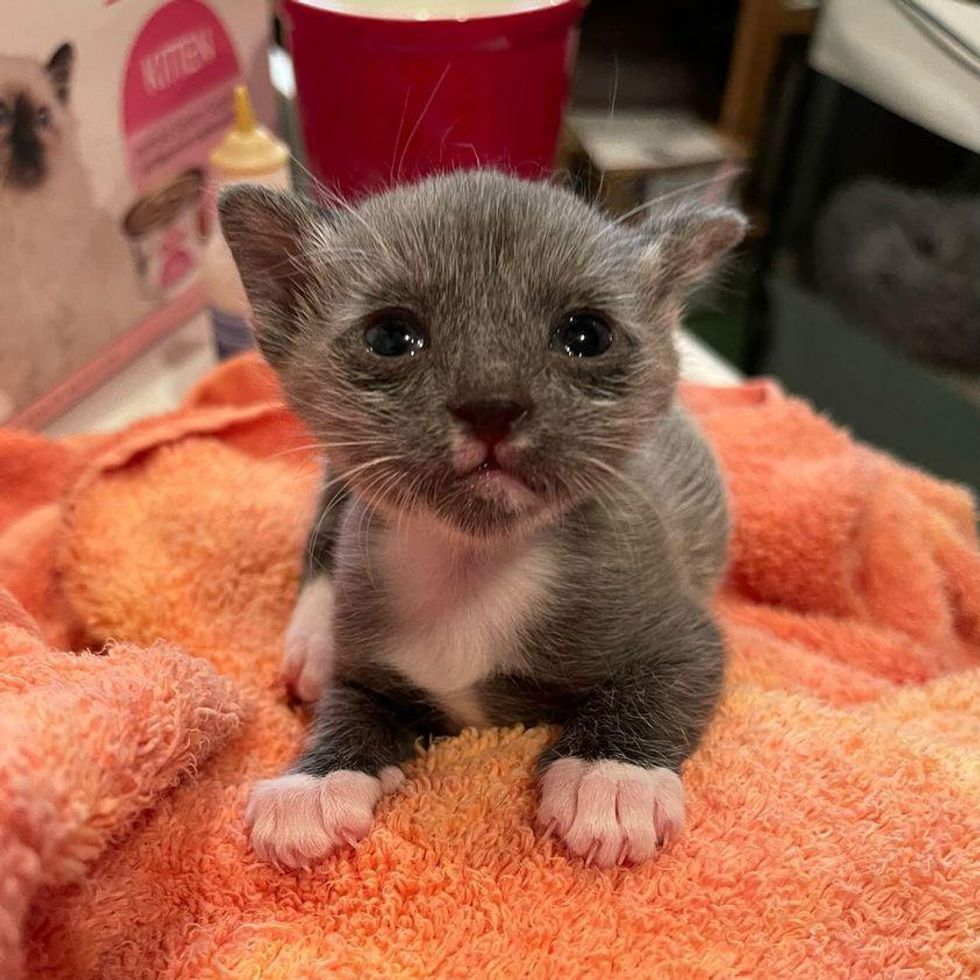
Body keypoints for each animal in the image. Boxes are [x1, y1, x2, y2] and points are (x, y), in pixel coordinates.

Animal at [220, 172, 744, 868]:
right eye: (391, 336)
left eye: (587, 335)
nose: (492, 405)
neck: (470, 570)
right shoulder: (367, 664)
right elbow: (348, 707)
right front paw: (315, 785)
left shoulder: (686, 636)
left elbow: (654, 689)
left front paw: (610, 781)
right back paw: (311, 638)